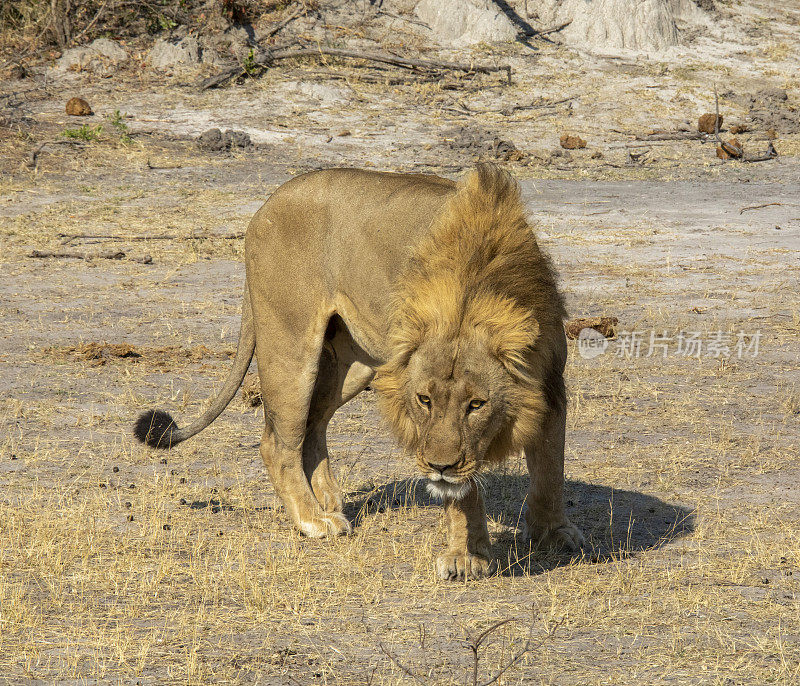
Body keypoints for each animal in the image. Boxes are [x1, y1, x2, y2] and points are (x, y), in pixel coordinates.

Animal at [134, 165, 584, 580]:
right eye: (424, 400)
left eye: (477, 404)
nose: (438, 466)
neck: (474, 290)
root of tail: (266, 206)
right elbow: (464, 492)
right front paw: (466, 556)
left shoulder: (551, 386)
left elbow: (551, 468)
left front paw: (553, 534)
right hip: (290, 345)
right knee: (277, 442)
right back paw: (313, 519)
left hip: (355, 364)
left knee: (313, 427)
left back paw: (329, 502)